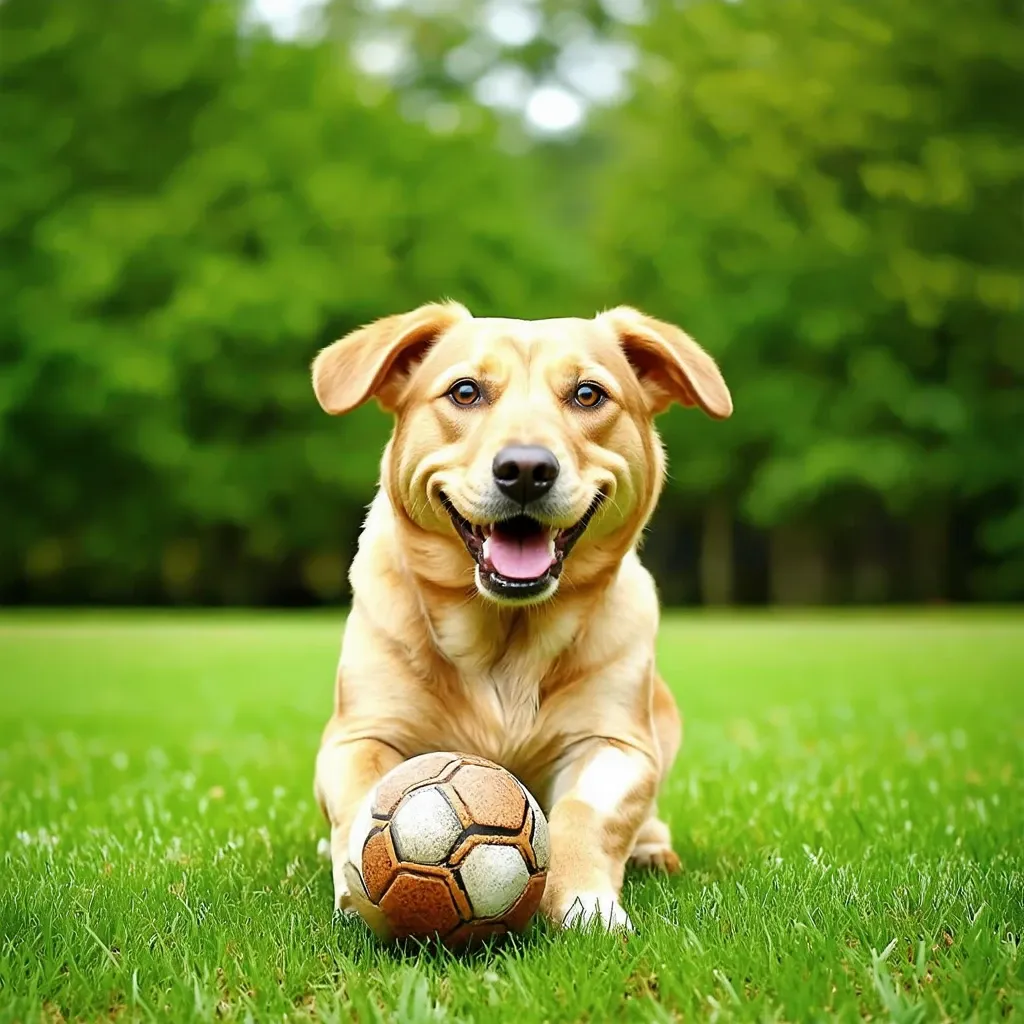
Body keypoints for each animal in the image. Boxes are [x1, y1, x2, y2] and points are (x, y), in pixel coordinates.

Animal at [307, 299, 733, 933]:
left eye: (587, 394)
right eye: (465, 391)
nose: (527, 469)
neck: (505, 637)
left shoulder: (616, 742)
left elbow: (586, 813)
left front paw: (586, 900)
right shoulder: (360, 735)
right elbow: (363, 798)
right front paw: (355, 878)